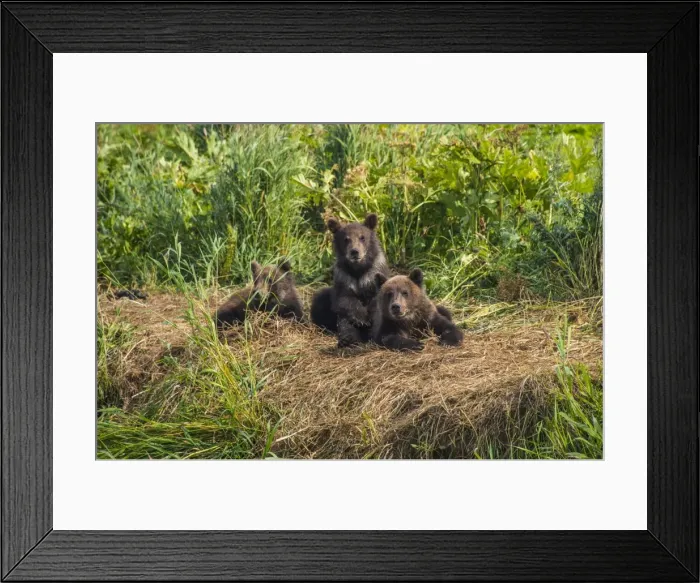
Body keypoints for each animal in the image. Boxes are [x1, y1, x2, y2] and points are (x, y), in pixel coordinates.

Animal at [310, 213, 390, 347]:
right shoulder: (344, 278)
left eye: (362, 237)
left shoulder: (373, 274)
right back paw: (347, 340)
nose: (354, 252)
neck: (358, 271)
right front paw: (362, 320)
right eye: (346, 239)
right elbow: (346, 302)